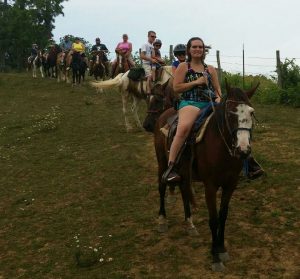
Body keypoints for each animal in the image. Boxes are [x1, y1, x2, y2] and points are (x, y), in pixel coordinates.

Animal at [149, 82, 258, 272]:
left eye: (251, 112)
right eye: (230, 113)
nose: (243, 150)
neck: (222, 148)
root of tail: (167, 112)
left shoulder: (231, 184)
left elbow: (223, 216)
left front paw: (221, 249)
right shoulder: (210, 186)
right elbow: (213, 219)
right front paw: (215, 257)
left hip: (184, 172)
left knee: (184, 191)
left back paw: (189, 223)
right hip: (162, 163)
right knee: (162, 187)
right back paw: (162, 220)